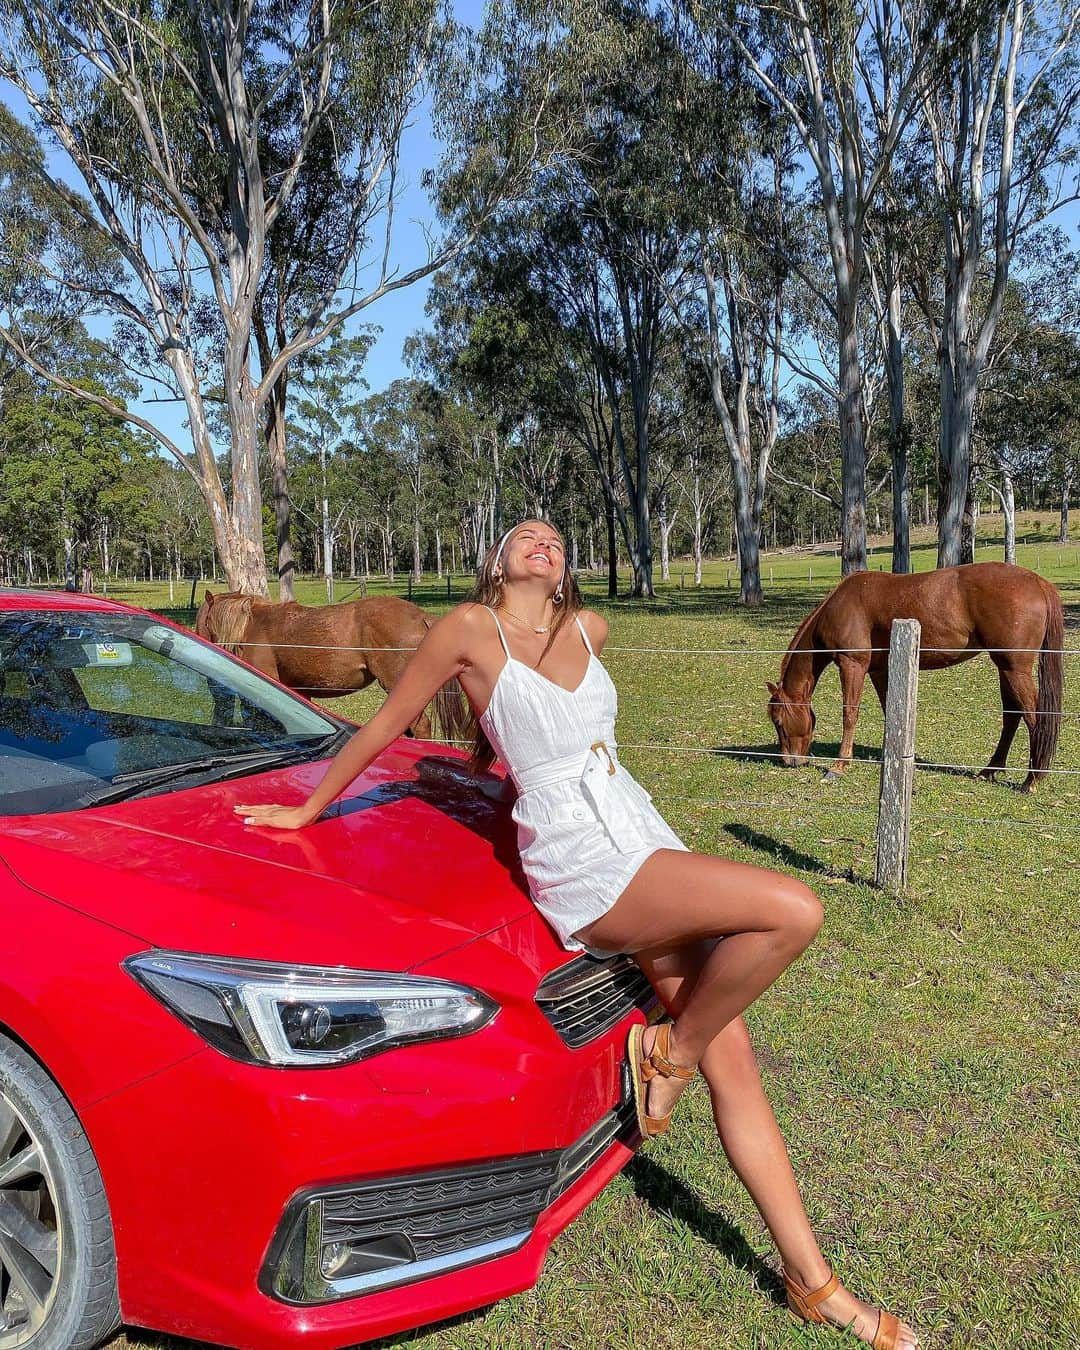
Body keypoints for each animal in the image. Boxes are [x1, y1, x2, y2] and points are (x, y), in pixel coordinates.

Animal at [766, 561, 1063, 788]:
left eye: (778, 721)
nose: (788, 761)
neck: (840, 605)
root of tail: (1038, 582)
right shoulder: (879, 670)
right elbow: (889, 711)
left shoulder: (853, 665)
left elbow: (850, 714)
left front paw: (839, 766)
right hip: (1005, 667)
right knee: (1012, 716)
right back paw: (989, 771)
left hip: (1015, 670)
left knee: (1033, 718)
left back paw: (1031, 781)